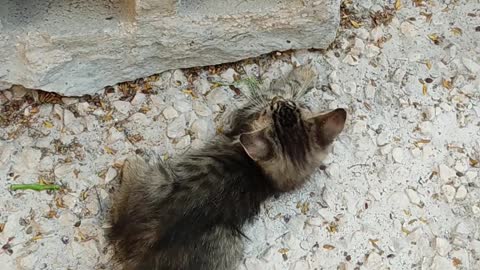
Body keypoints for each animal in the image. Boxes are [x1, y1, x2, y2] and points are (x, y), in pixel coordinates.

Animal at [108, 63, 344, 270]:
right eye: (292, 107)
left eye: (274, 108)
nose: (278, 102)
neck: (261, 174)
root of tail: (139, 250)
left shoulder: (247, 114)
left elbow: (281, 87)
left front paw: (303, 73)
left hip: (160, 181)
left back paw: (131, 162)